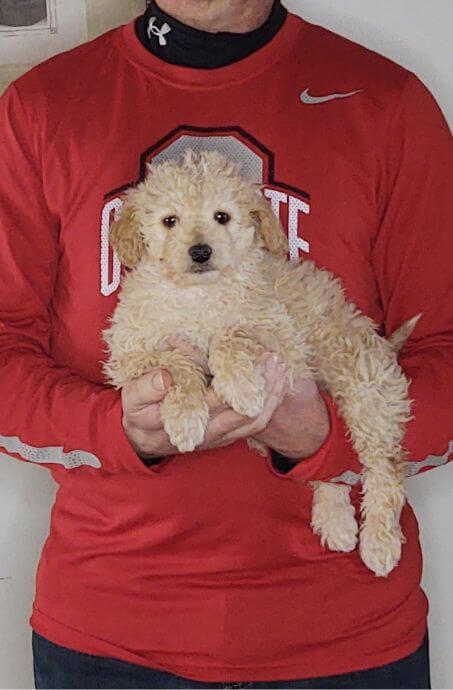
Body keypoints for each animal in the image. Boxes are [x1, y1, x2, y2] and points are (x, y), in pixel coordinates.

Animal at [102, 150, 416, 576]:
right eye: (169, 221)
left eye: (222, 216)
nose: (200, 252)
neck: (197, 295)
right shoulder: (129, 352)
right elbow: (176, 361)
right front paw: (185, 417)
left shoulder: (283, 340)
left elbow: (231, 334)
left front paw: (240, 385)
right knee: (328, 468)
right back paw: (336, 522)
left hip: (365, 387)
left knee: (384, 465)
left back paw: (379, 544)